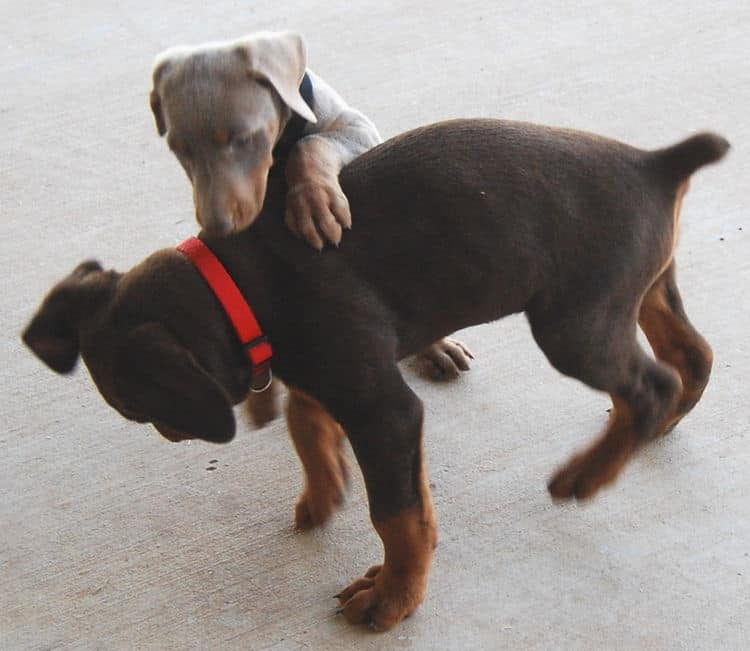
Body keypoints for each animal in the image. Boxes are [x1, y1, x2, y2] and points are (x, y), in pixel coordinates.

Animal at [22, 119, 728, 628]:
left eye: (140, 410)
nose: (169, 433)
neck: (236, 288)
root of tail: (654, 162)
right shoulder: (336, 378)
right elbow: (306, 417)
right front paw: (324, 486)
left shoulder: (384, 409)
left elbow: (398, 514)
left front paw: (393, 597)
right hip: (637, 291)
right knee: (691, 355)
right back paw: (652, 431)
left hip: (572, 326)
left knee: (653, 383)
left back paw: (587, 474)